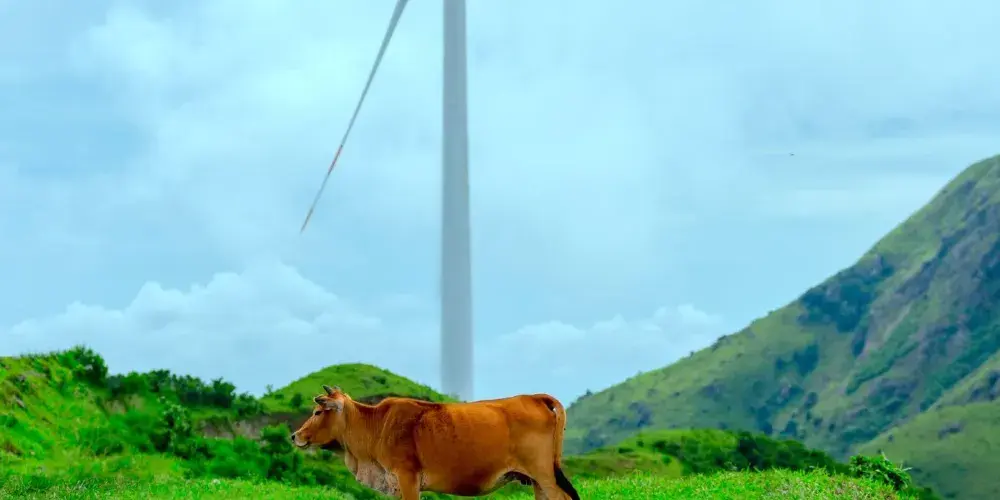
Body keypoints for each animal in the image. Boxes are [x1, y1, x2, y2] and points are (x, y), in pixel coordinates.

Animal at [290, 384, 580, 500]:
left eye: (318, 412)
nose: (294, 436)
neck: (376, 425)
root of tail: (535, 397)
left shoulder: (407, 477)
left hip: (545, 476)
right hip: (538, 480)